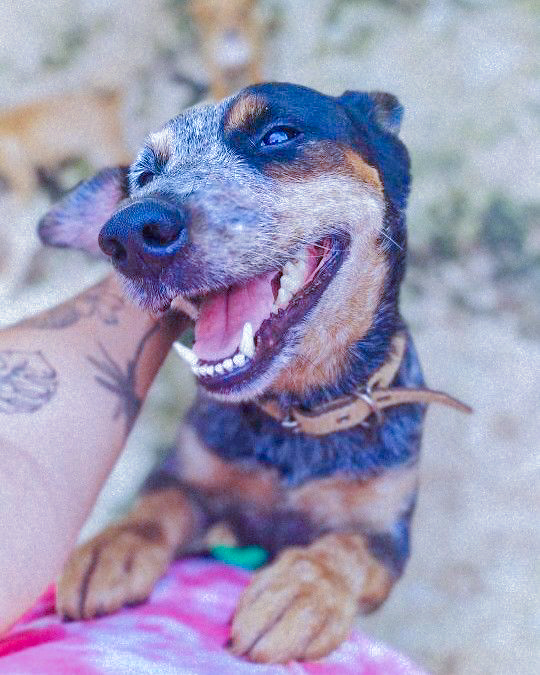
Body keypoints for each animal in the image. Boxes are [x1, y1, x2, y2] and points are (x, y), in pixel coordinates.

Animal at [39, 82, 468, 664]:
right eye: (143, 177)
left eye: (278, 135)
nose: (128, 231)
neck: (295, 417)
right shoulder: (188, 475)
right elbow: (155, 504)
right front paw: (112, 545)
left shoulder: (386, 531)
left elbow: (345, 548)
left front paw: (301, 591)